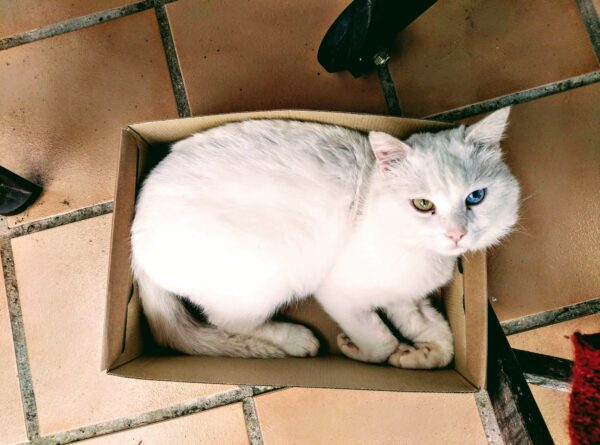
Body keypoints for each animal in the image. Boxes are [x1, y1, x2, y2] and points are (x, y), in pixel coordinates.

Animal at [130, 107, 520, 369]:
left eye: (475, 197)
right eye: (423, 205)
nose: (457, 235)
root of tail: (134, 232)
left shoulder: (406, 298)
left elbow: (441, 335)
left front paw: (418, 355)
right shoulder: (340, 293)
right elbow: (381, 340)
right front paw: (359, 350)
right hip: (264, 280)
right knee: (229, 323)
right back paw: (295, 341)